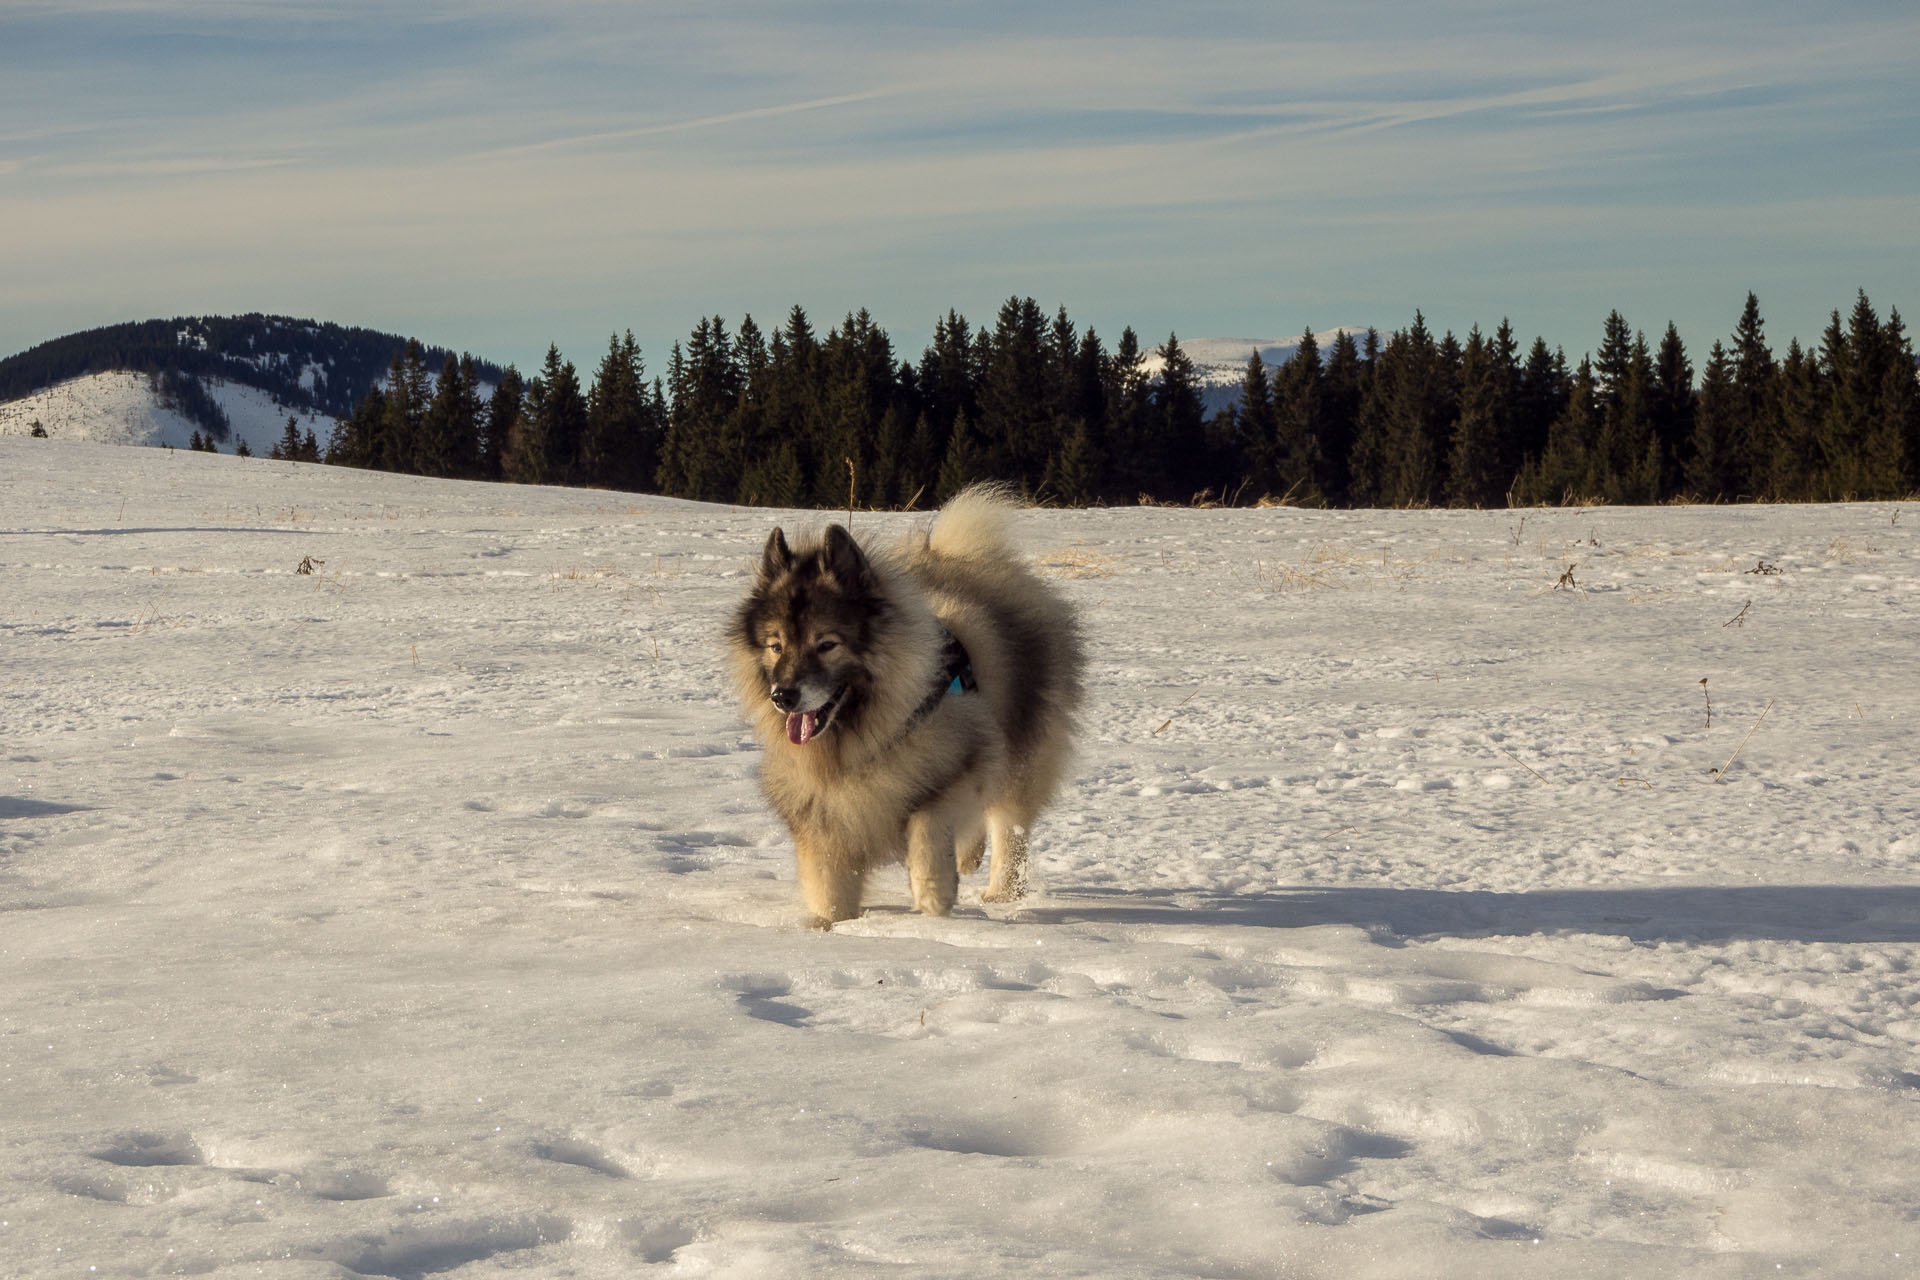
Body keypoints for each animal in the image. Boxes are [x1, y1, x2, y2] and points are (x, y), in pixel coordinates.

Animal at [725, 485, 1082, 924]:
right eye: (776, 646)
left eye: (827, 644)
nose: (783, 696)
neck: (864, 741)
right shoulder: (821, 814)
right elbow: (829, 887)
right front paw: (830, 925)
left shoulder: (962, 762)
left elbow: (928, 825)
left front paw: (934, 897)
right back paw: (969, 860)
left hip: (1020, 753)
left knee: (1007, 826)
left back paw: (1000, 893)